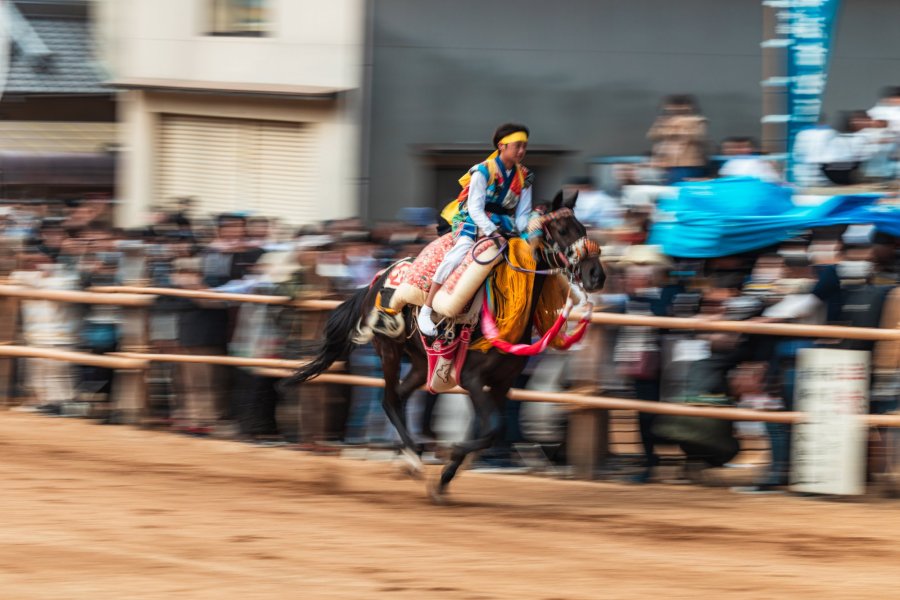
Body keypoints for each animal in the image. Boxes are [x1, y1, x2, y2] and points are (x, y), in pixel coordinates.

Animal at [284, 192, 604, 502]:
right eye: (562, 230)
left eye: (582, 228)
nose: (596, 275)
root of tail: (376, 280)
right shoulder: (473, 378)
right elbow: (493, 428)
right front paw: (451, 459)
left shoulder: (502, 383)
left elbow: (489, 430)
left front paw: (447, 474)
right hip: (389, 349)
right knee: (389, 399)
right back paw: (413, 458)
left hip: (420, 361)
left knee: (399, 397)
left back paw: (406, 457)